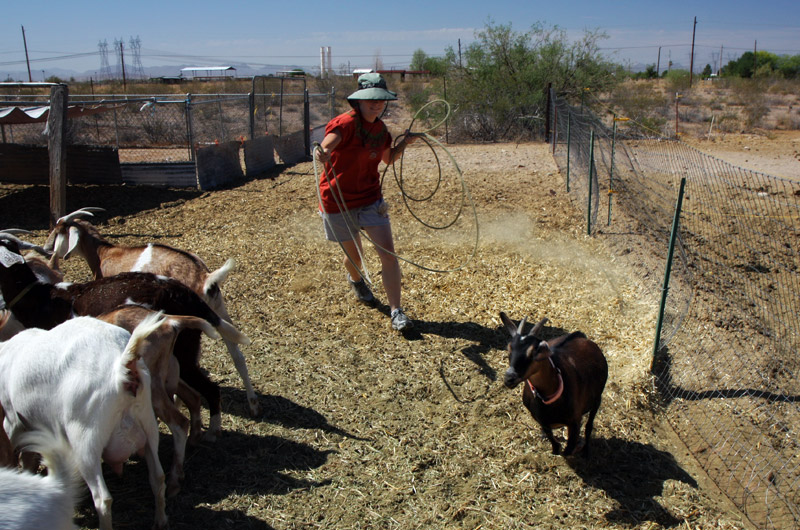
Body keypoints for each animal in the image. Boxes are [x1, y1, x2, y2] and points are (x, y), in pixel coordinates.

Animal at [0, 314, 169, 528]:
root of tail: (123, 368)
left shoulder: (12, 420)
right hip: (148, 423)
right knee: (158, 477)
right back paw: (160, 520)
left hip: (85, 440)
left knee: (103, 498)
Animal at [43, 206, 260, 416]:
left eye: (58, 231)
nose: (46, 249)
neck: (104, 253)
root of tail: (205, 278)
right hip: (218, 310)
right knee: (237, 355)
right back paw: (252, 405)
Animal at [500, 312, 608, 456]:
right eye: (509, 349)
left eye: (535, 351)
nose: (509, 378)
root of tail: (580, 336)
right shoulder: (542, 421)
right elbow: (555, 444)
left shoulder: (574, 423)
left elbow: (568, 450)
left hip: (597, 398)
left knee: (589, 426)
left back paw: (585, 451)